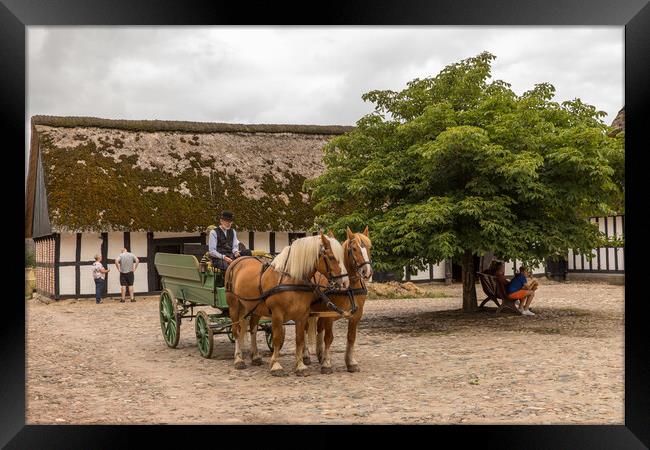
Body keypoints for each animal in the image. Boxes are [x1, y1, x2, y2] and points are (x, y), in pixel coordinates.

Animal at [225, 234, 346, 374]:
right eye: (331, 257)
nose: (343, 282)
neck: (291, 280)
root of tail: (236, 261)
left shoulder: (302, 315)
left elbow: (299, 339)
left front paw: (300, 366)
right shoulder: (277, 314)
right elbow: (277, 338)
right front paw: (276, 365)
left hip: (254, 308)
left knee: (253, 329)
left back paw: (255, 357)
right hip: (234, 306)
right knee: (236, 330)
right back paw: (238, 359)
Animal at [306, 227, 372, 374]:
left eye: (370, 247)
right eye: (354, 249)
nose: (367, 272)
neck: (349, 287)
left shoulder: (356, 315)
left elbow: (351, 337)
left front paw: (350, 362)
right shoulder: (330, 314)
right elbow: (329, 338)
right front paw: (327, 364)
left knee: (319, 328)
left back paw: (320, 354)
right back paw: (306, 356)